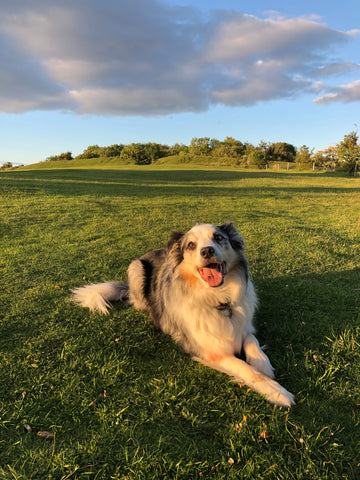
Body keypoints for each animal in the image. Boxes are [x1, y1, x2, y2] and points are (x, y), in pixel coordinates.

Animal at [71, 223, 294, 406]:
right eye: (191, 245)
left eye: (218, 237)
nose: (207, 250)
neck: (219, 300)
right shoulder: (208, 350)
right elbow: (244, 368)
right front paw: (277, 391)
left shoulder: (243, 324)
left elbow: (251, 341)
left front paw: (263, 364)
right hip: (136, 268)